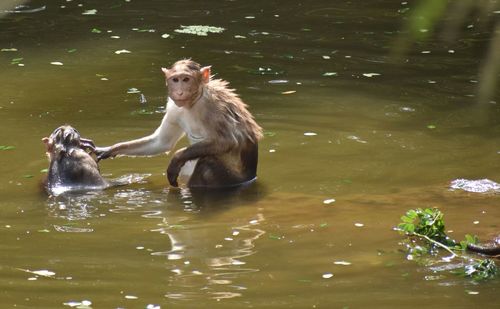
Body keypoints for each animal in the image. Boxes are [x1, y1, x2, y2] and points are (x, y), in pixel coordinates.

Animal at [95, 58, 264, 186]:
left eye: (186, 79)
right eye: (175, 80)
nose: (179, 91)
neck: (194, 102)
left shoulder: (213, 107)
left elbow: (227, 141)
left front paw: (176, 158)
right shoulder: (173, 107)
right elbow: (162, 142)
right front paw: (112, 149)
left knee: (207, 164)